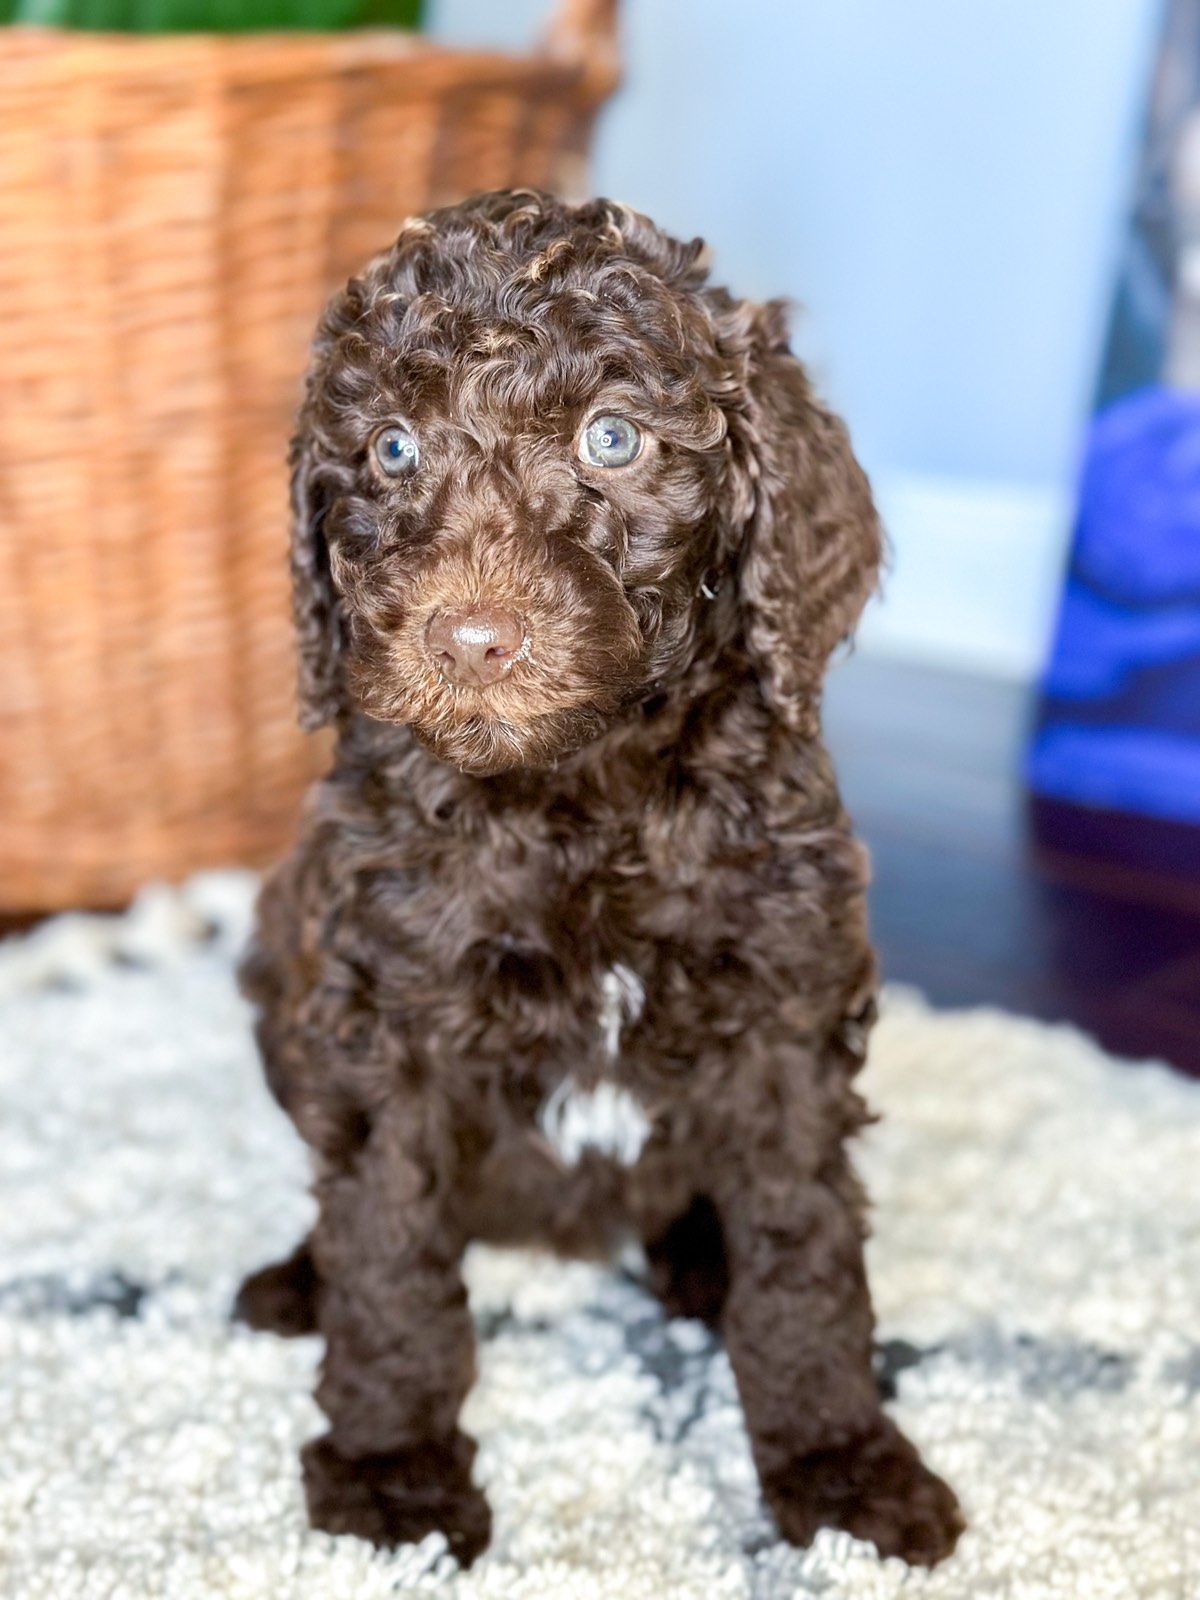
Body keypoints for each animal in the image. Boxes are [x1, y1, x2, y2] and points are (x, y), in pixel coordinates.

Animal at [236, 184, 966, 1561]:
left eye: (613, 437)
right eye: (393, 450)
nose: (471, 638)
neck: (581, 799)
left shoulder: (784, 1014)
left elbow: (805, 1250)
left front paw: (840, 1462)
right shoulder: (387, 1020)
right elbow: (390, 1243)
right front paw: (394, 1470)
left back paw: (699, 1263)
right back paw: (298, 1276)